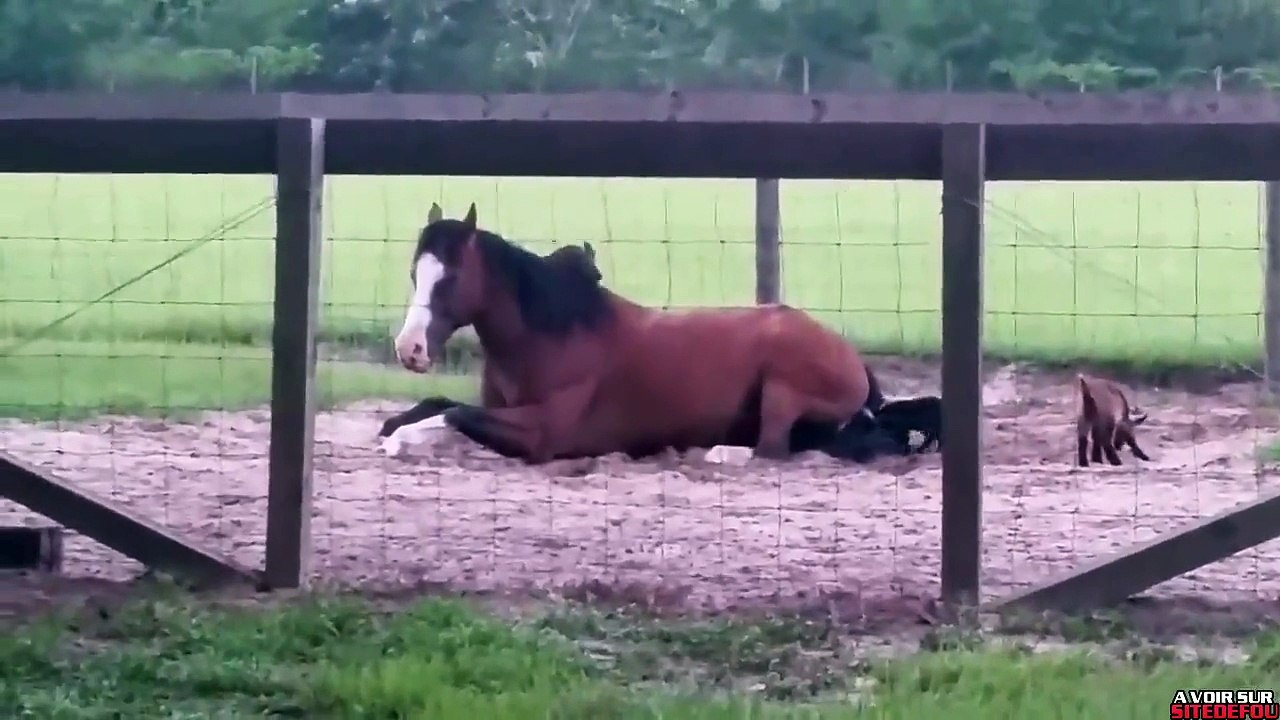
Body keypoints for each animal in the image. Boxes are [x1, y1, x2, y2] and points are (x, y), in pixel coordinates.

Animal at [384, 202, 883, 464]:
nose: (409, 349)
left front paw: (399, 440)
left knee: (770, 450)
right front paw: (396, 428)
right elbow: (437, 405)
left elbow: (453, 414)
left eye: (449, 278)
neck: (553, 335)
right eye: (413, 274)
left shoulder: (543, 434)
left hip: (782, 386)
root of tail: (852, 358)